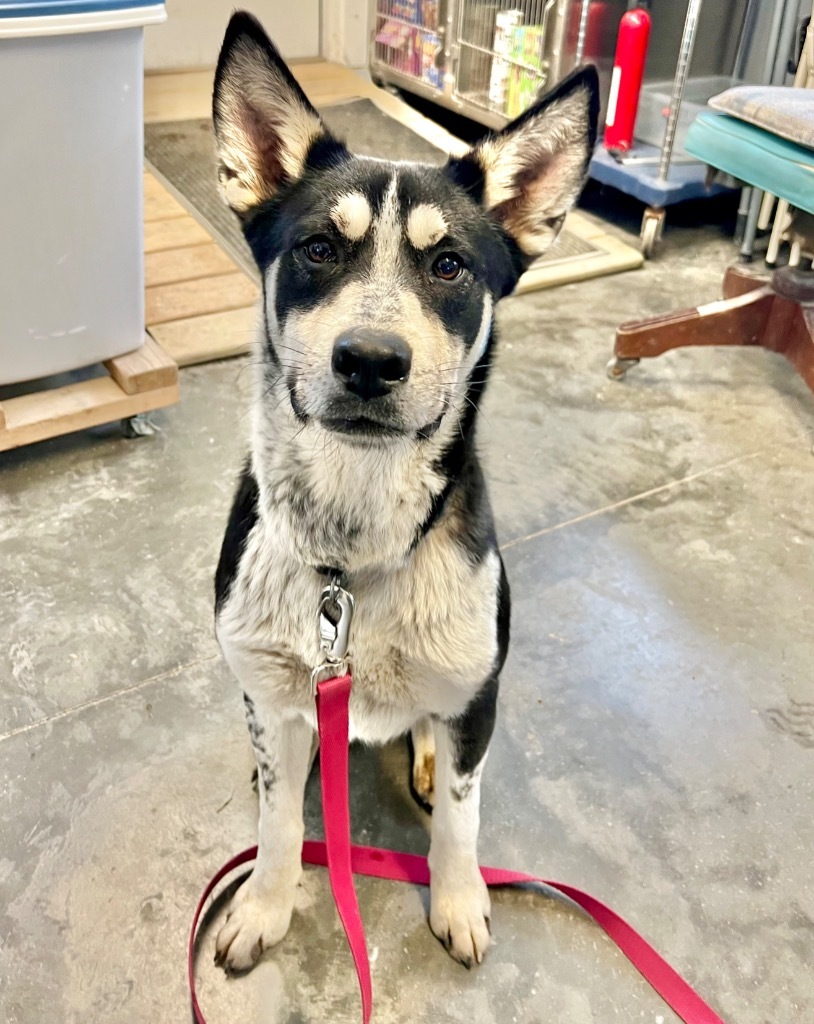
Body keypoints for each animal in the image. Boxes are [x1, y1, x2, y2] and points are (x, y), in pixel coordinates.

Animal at [212, 12, 602, 978]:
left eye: (451, 265)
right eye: (317, 248)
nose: (370, 361)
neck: (351, 555)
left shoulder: (477, 695)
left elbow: (463, 818)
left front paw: (458, 900)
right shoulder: (272, 694)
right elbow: (279, 819)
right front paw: (265, 902)